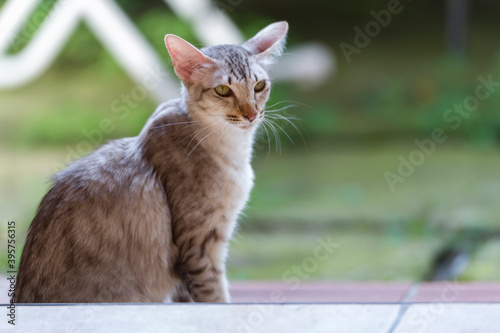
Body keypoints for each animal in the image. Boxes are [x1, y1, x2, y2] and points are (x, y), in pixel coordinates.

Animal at [13, 20, 290, 300]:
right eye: (223, 90)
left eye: (259, 86)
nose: (252, 114)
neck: (234, 151)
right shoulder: (198, 247)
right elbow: (214, 296)